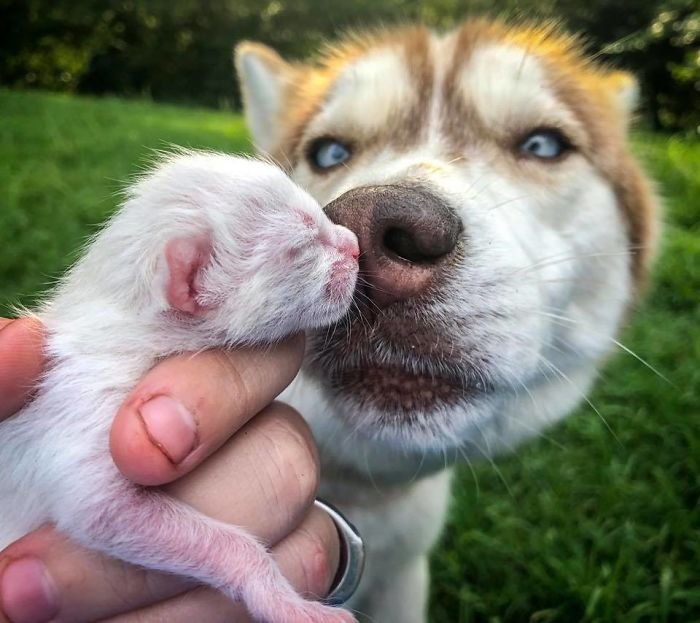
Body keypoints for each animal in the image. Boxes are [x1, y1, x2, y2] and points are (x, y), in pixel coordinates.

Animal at [0, 151, 358, 623]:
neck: (126, 327)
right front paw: (283, 602)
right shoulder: (87, 408)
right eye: (300, 247)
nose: (356, 244)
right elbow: (98, 508)